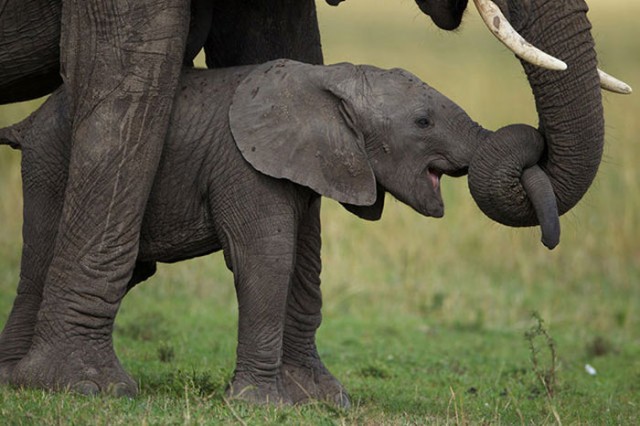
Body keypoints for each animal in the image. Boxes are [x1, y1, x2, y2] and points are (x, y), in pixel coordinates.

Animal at [0, 59, 484, 406]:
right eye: (423, 122)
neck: (334, 79)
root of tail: (29, 121)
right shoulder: (243, 166)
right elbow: (267, 257)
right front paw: (260, 406)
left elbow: (300, 258)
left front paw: (324, 402)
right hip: (51, 164)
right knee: (40, 262)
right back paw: (43, 384)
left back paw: (14, 378)